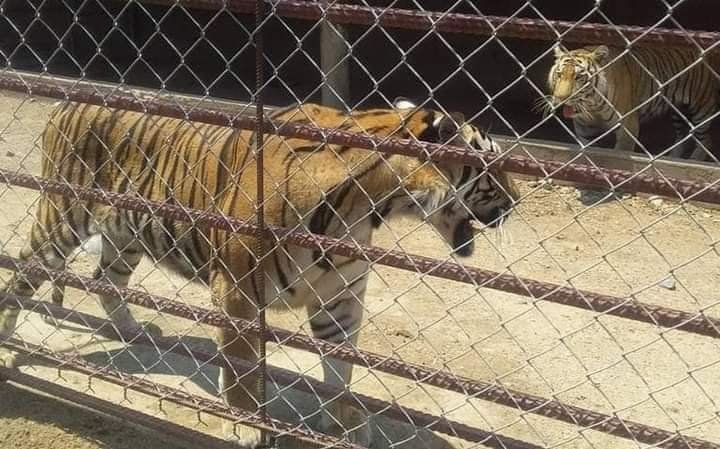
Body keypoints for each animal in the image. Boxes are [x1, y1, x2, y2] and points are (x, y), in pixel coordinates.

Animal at [0, 97, 516, 444]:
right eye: (494, 167)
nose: (516, 203)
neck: (369, 204)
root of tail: (66, 102)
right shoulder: (237, 296)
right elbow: (244, 375)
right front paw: (248, 429)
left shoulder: (339, 300)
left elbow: (342, 371)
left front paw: (348, 427)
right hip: (62, 217)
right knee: (23, 269)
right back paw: (8, 347)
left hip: (126, 235)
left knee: (106, 280)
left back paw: (136, 333)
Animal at [544, 43, 720, 162]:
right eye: (559, 75)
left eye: (578, 77)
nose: (560, 98)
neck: (592, 106)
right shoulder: (584, 131)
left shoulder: (627, 128)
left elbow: (620, 156)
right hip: (677, 111)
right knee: (682, 136)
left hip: (702, 108)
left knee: (707, 140)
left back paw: (694, 161)